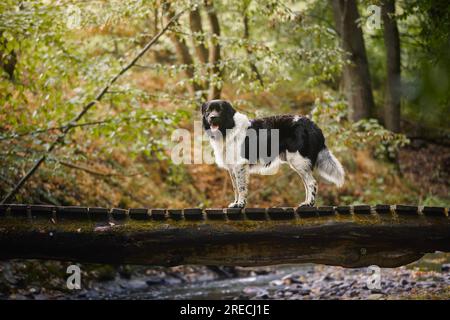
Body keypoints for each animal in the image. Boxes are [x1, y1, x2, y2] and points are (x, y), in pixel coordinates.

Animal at [200, 100, 344, 210]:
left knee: (312, 183)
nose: (212, 117)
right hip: (299, 163)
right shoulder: (232, 167)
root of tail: (311, 124)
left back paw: (309, 204)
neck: (228, 129)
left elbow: (241, 187)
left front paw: (240, 205)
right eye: (208, 111)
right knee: (307, 183)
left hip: (298, 159)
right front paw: (235, 203)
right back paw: (306, 203)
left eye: (220, 110)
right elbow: (235, 188)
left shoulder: (240, 164)